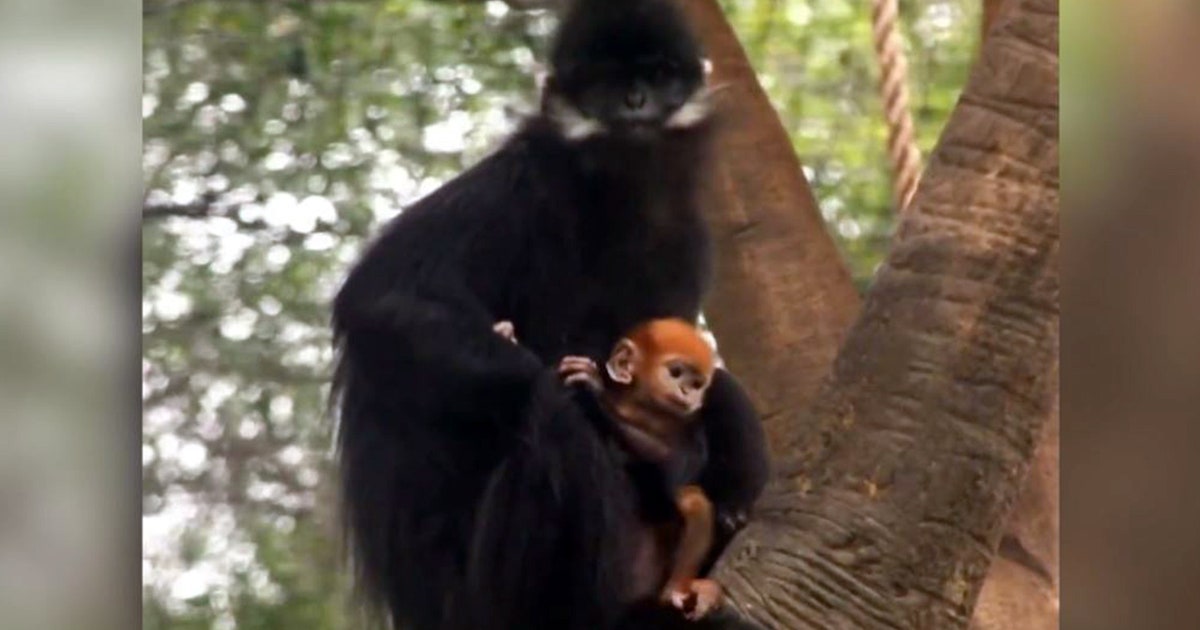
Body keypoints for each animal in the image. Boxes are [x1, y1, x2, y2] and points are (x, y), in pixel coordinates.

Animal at [331, 1, 769, 628]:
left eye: (658, 74)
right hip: (482, 597)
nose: (635, 101)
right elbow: (380, 294)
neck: (611, 195)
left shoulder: (684, 235)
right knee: (554, 411)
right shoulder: (517, 183)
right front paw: (589, 391)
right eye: (606, 81)